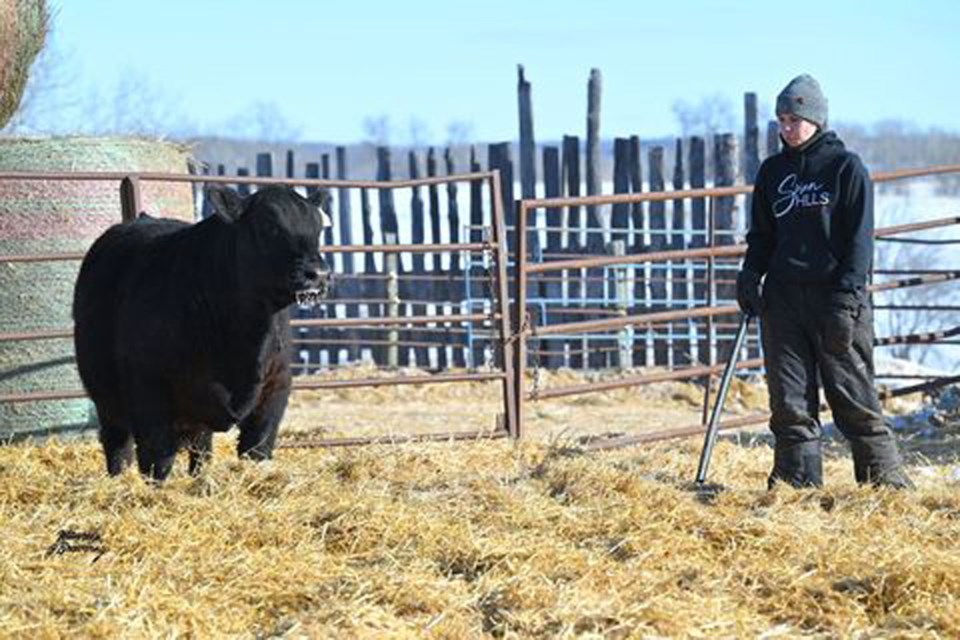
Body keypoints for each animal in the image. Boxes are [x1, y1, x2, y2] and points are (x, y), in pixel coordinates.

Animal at [72, 185, 334, 480]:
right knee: (117, 444)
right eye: (269, 225)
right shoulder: (148, 389)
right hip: (106, 399)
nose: (318, 274)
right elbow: (157, 458)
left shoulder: (276, 386)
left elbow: (257, 449)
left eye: (317, 227)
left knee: (201, 448)